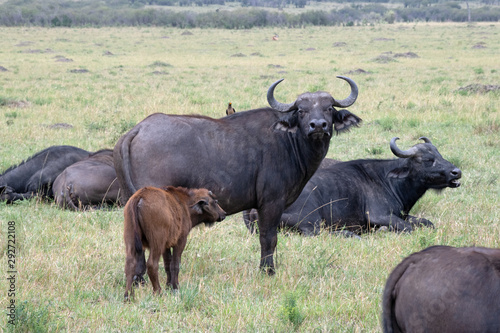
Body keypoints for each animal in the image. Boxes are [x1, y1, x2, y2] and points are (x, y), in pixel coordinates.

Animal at [115, 76, 362, 274]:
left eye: (329, 108)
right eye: (301, 110)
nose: (318, 126)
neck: (290, 140)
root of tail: (138, 129)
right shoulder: (271, 203)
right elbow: (268, 238)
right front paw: (267, 271)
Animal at [242, 136, 460, 235]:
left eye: (439, 155)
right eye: (427, 160)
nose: (456, 172)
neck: (389, 181)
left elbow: (427, 223)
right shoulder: (379, 215)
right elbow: (408, 228)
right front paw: (382, 230)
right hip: (312, 218)